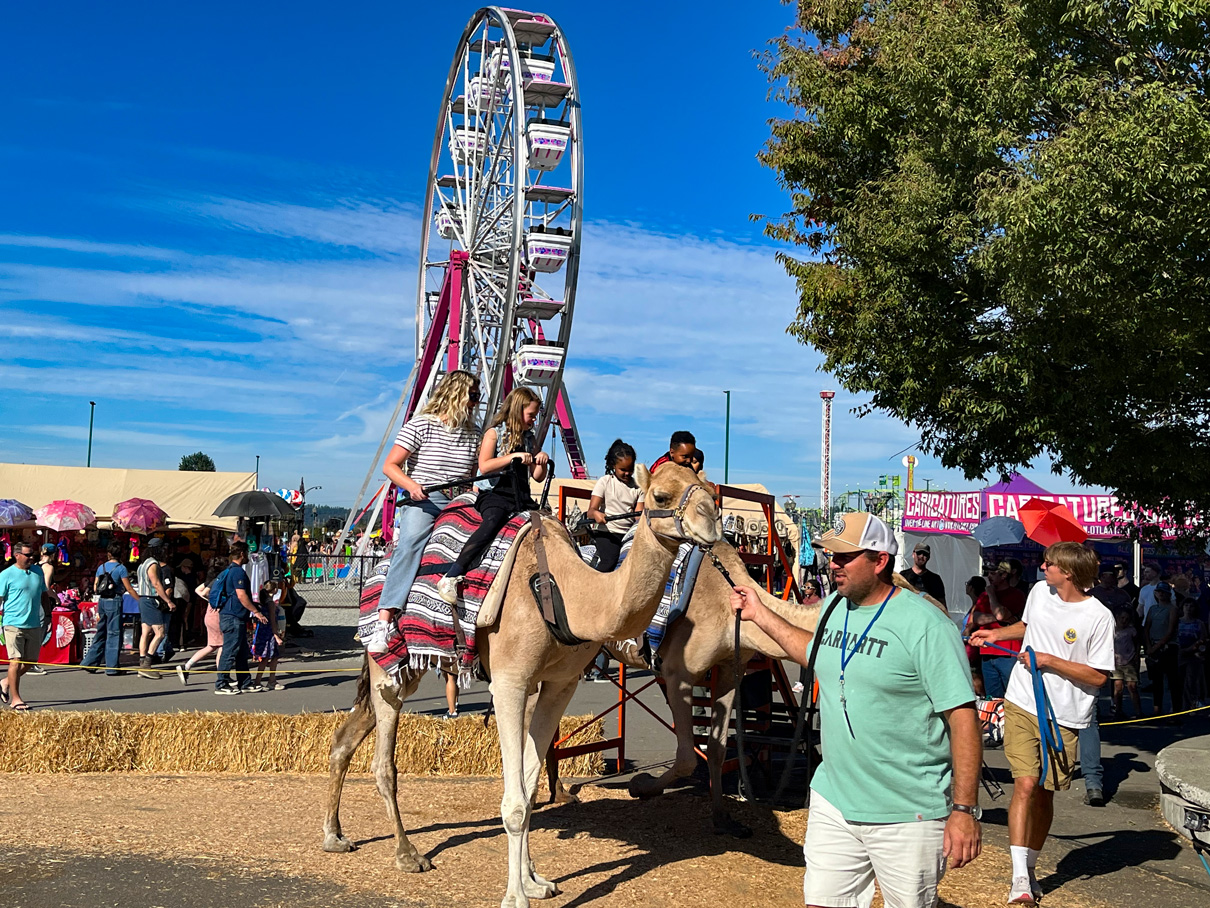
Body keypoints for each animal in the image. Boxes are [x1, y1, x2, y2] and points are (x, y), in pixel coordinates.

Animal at [319, 464, 716, 905]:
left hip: (407, 669)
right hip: (384, 661)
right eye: (661, 496)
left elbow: (527, 784)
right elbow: (515, 803)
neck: (568, 593)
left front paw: (535, 881)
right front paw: (515, 896)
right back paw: (408, 854)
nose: (712, 520)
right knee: (383, 758)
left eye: (710, 489)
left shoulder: (559, 685)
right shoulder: (509, 682)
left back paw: (335, 836)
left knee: (344, 739)